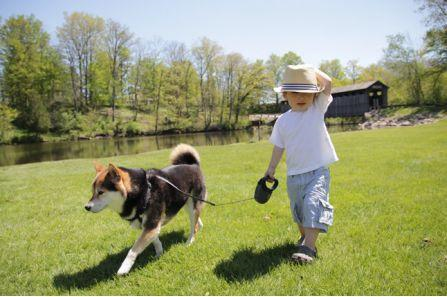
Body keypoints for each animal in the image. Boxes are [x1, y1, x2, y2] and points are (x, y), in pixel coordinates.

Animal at [85, 143, 207, 276]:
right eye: (93, 192)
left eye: (101, 192)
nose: (86, 207)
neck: (141, 193)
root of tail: (193, 165)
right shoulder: (150, 226)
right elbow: (155, 240)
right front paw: (159, 253)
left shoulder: (151, 223)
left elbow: (133, 250)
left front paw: (124, 269)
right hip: (185, 202)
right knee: (197, 220)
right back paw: (199, 225)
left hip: (193, 204)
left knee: (194, 226)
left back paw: (189, 242)